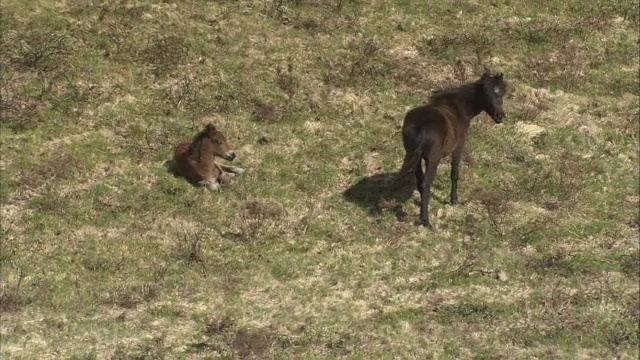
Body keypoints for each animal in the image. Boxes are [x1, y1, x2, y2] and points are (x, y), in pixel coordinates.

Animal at [398, 71, 508, 226]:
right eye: (486, 92)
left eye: (502, 92)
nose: (500, 117)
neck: (458, 107)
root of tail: (420, 125)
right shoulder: (459, 146)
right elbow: (455, 172)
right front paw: (454, 199)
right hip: (433, 159)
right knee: (425, 184)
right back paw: (426, 220)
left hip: (415, 157)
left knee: (420, 182)